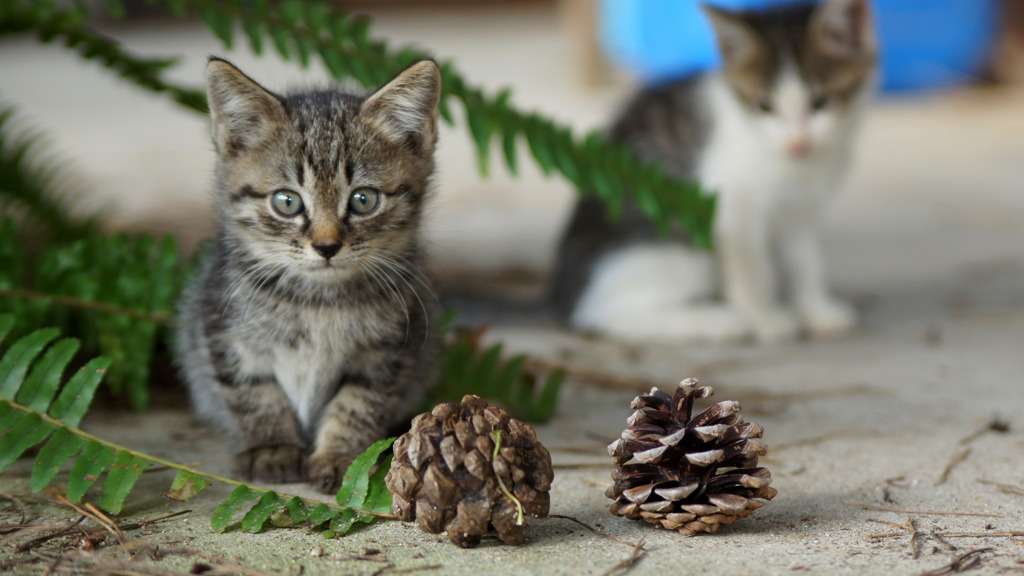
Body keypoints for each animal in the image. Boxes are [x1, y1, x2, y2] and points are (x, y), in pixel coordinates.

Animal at [177, 57, 440, 487]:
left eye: (363, 199)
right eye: (287, 202)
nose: (327, 246)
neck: (319, 300)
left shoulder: (389, 349)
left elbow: (358, 401)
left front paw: (341, 456)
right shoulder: (225, 331)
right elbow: (254, 393)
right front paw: (273, 448)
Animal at [557, 0, 876, 340]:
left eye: (822, 102)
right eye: (764, 106)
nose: (798, 142)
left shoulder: (801, 208)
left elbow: (805, 260)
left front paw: (816, 310)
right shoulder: (732, 206)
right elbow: (751, 268)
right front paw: (764, 319)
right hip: (677, 246)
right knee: (607, 313)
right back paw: (719, 319)